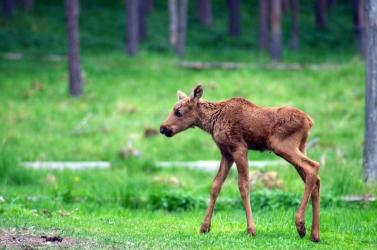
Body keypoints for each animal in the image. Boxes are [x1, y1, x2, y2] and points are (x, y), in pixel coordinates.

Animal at [159, 84, 320, 242]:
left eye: (179, 112)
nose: (162, 128)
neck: (212, 122)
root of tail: (310, 122)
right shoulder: (226, 153)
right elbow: (215, 185)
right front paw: (204, 227)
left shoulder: (239, 147)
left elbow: (243, 185)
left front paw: (251, 229)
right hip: (300, 146)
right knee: (315, 179)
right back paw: (314, 234)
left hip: (282, 146)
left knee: (314, 166)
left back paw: (300, 224)